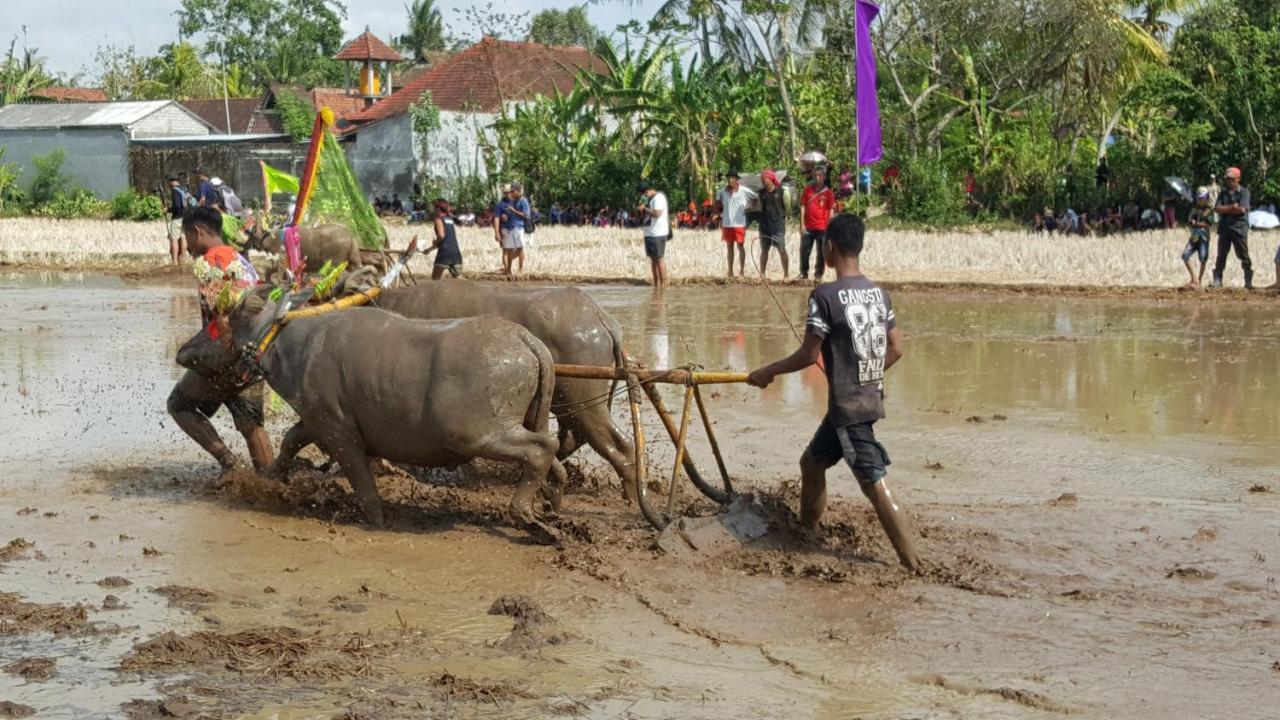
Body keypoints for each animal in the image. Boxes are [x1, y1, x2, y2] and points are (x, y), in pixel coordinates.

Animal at [179, 299, 560, 530]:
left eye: (214, 326)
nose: (182, 351)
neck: (288, 344)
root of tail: (526, 340)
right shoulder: (318, 420)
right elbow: (290, 440)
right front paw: (272, 475)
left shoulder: (340, 436)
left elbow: (363, 483)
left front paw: (376, 521)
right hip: (527, 419)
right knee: (552, 453)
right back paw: (553, 497)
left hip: (475, 435)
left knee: (542, 448)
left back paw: (524, 513)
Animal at [371, 281, 634, 499]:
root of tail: (598, 317)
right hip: (565, 401)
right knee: (572, 437)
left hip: (582, 399)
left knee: (613, 442)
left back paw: (631, 495)